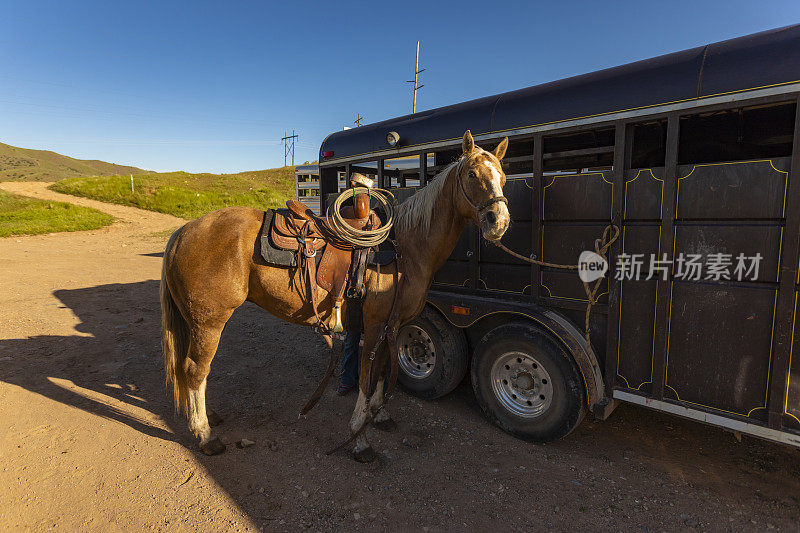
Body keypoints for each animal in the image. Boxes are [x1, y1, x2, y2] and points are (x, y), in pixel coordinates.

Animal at [162, 131, 510, 460]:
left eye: (504, 176)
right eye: (472, 175)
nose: (499, 222)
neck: (407, 248)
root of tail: (184, 231)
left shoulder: (393, 326)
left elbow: (383, 371)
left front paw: (379, 415)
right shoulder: (375, 325)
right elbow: (367, 377)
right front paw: (359, 438)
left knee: (190, 370)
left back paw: (208, 418)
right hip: (209, 322)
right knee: (196, 370)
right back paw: (205, 435)